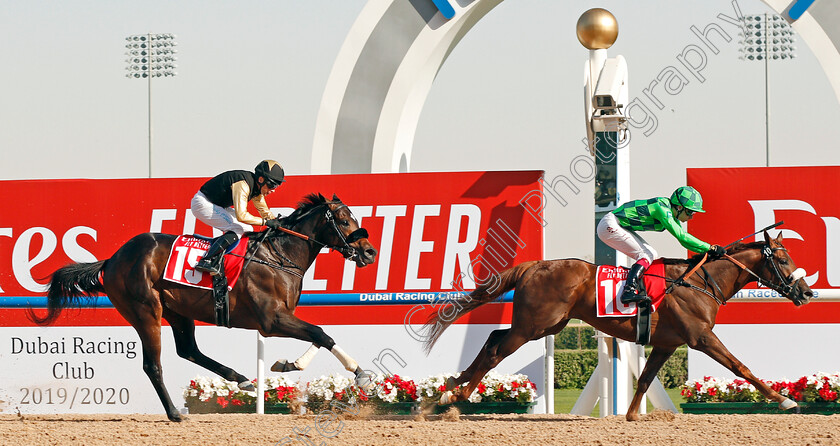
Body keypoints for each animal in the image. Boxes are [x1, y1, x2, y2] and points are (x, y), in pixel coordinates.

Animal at [28, 193, 378, 422]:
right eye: (344, 220)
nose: (369, 251)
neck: (279, 256)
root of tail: (113, 259)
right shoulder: (270, 320)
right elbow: (321, 333)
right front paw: (359, 374)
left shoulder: (282, 317)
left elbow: (319, 335)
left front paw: (290, 364)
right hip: (145, 311)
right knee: (153, 364)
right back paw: (174, 413)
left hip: (179, 313)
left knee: (189, 351)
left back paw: (241, 379)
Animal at [426, 232, 812, 420]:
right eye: (782, 259)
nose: (807, 292)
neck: (700, 281)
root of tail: (534, 265)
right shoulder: (700, 336)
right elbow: (741, 367)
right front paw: (785, 401)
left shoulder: (667, 343)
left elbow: (644, 379)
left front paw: (629, 416)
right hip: (534, 326)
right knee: (495, 351)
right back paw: (455, 396)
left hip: (546, 325)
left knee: (493, 338)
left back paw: (448, 388)